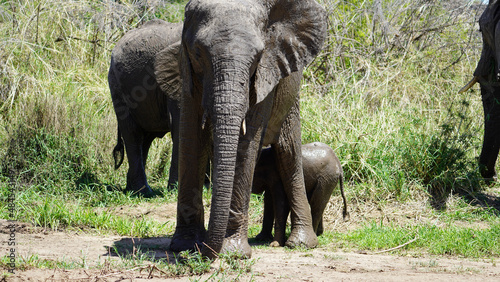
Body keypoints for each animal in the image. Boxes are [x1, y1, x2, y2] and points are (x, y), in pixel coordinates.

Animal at [108, 19, 183, 196]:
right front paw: (176, 191)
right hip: (118, 87)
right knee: (133, 134)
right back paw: (142, 192)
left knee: (146, 138)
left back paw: (132, 190)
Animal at [170, 0, 328, 258]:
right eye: (198, 53)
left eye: (257, 57)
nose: (206, 250)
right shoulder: (188, 74)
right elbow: (191, 138)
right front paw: (184, 246)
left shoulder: (266, 72)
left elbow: (246, 144)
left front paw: (233, 252)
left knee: (289, 154)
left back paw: (301, 243)